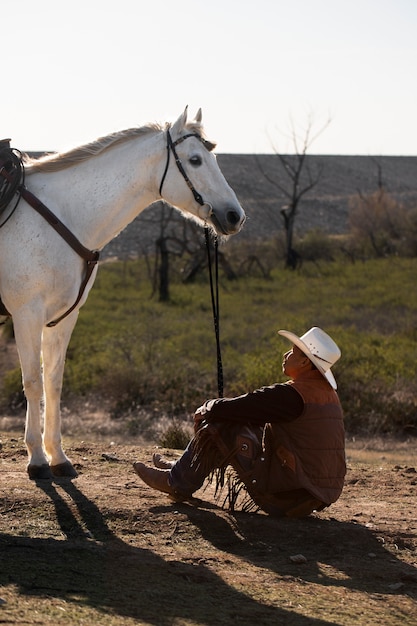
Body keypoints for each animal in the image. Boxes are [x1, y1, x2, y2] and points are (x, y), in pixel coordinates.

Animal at [0, 107, 244, 478]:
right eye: (195, 159)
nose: (234, 216)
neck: (61, 217)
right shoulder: (27, 315)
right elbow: (32, 382)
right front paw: (38, 460)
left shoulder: (63, 318)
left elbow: (53, 382)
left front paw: (58, 456)